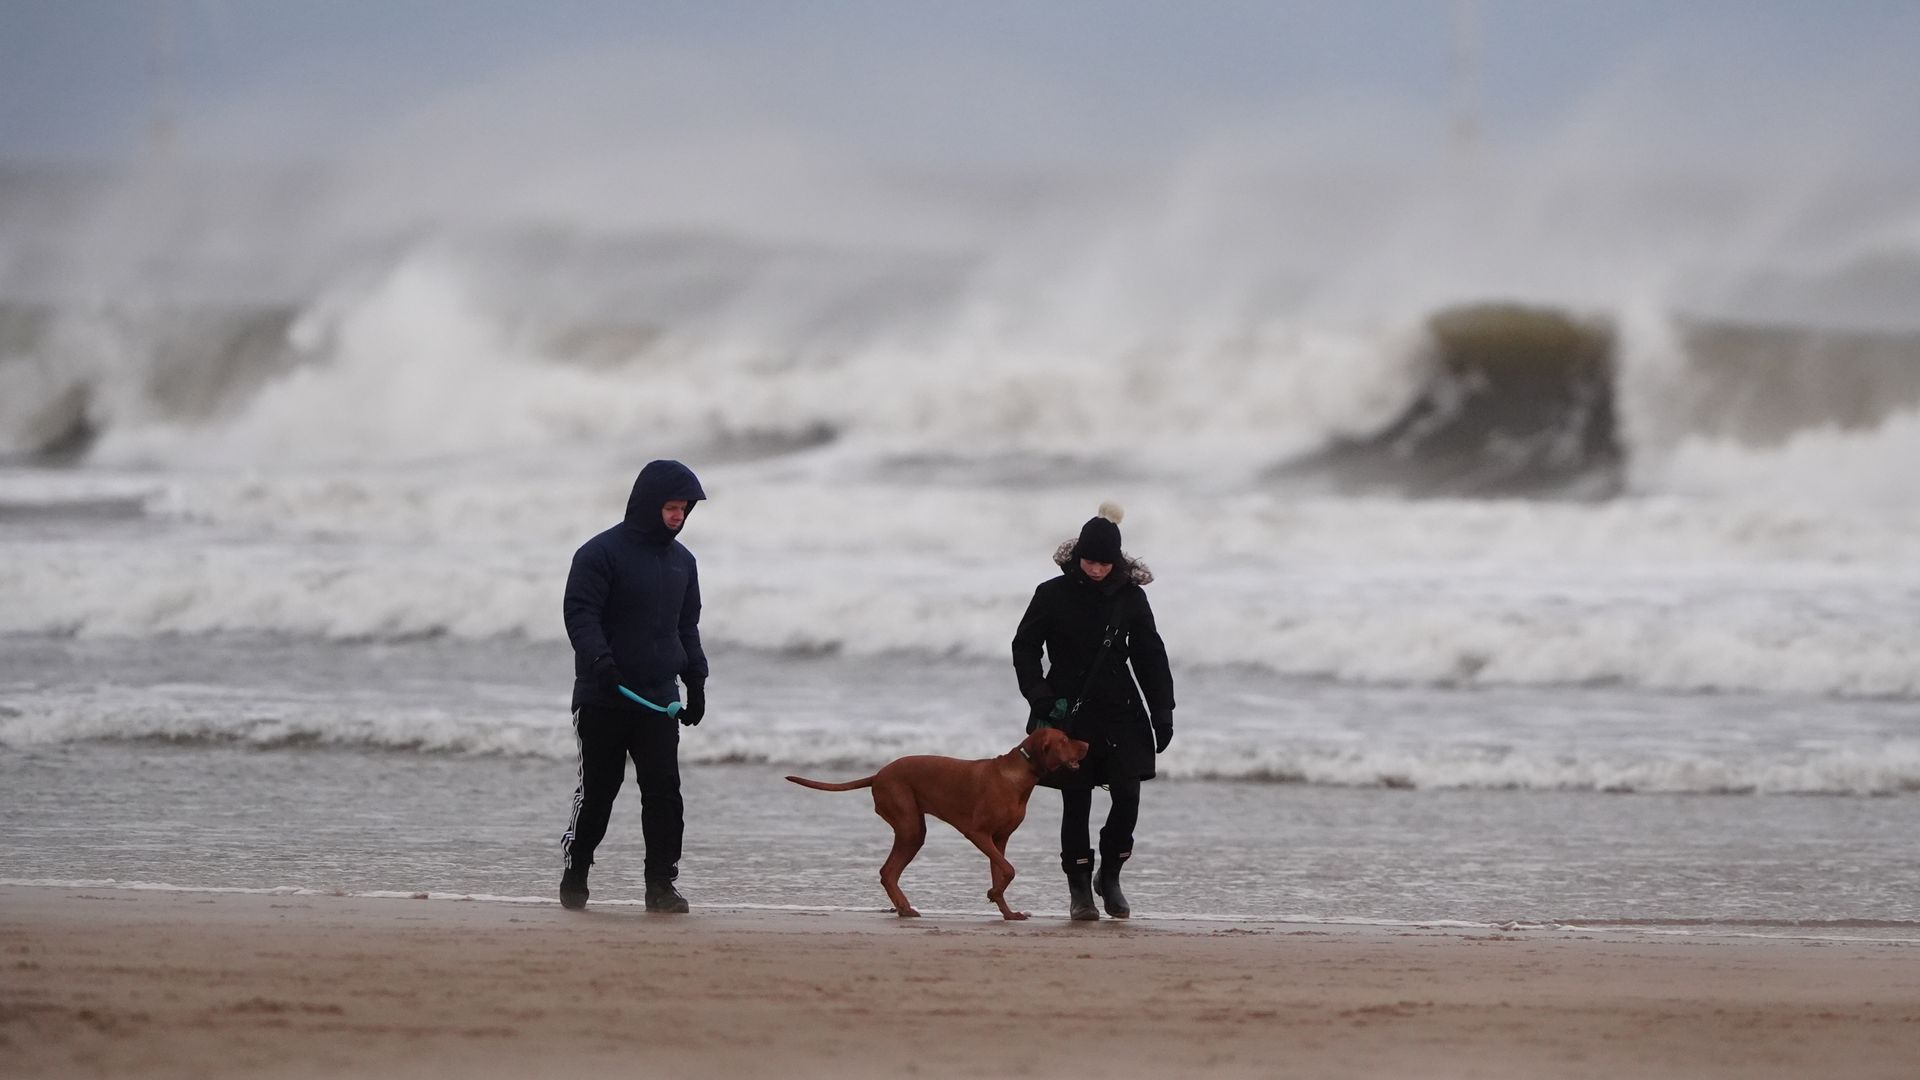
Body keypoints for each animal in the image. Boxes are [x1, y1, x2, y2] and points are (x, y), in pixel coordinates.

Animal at [783, 722, 1090, 914]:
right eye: (1064, 740)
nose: (1088, 743)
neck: (1017, 776)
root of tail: (879, 774)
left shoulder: (1000, 839)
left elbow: (1001, 870)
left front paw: (1007, 911)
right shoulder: (978, 833)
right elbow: (1009, 869)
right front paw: (995, 895)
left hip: (912, 829)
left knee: (888, 872)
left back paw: (903, 908)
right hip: (910, 825)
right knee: (888, 871)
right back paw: (905, 908)